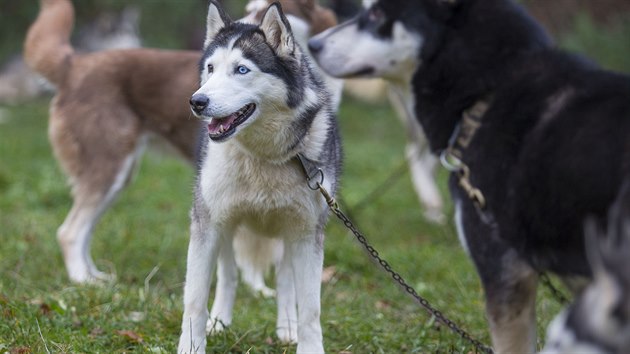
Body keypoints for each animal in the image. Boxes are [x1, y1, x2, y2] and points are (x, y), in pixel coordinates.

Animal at [23, 0, 340, 284]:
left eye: (242, 69)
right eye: (210, 68)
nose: (196, 101)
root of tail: (75, 63)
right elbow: (252, 252)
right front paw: (257, 291)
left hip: (118, 177)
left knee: (83, 230)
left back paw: (94, 275)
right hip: (108, 170)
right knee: (69, 232)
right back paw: (82, 281)